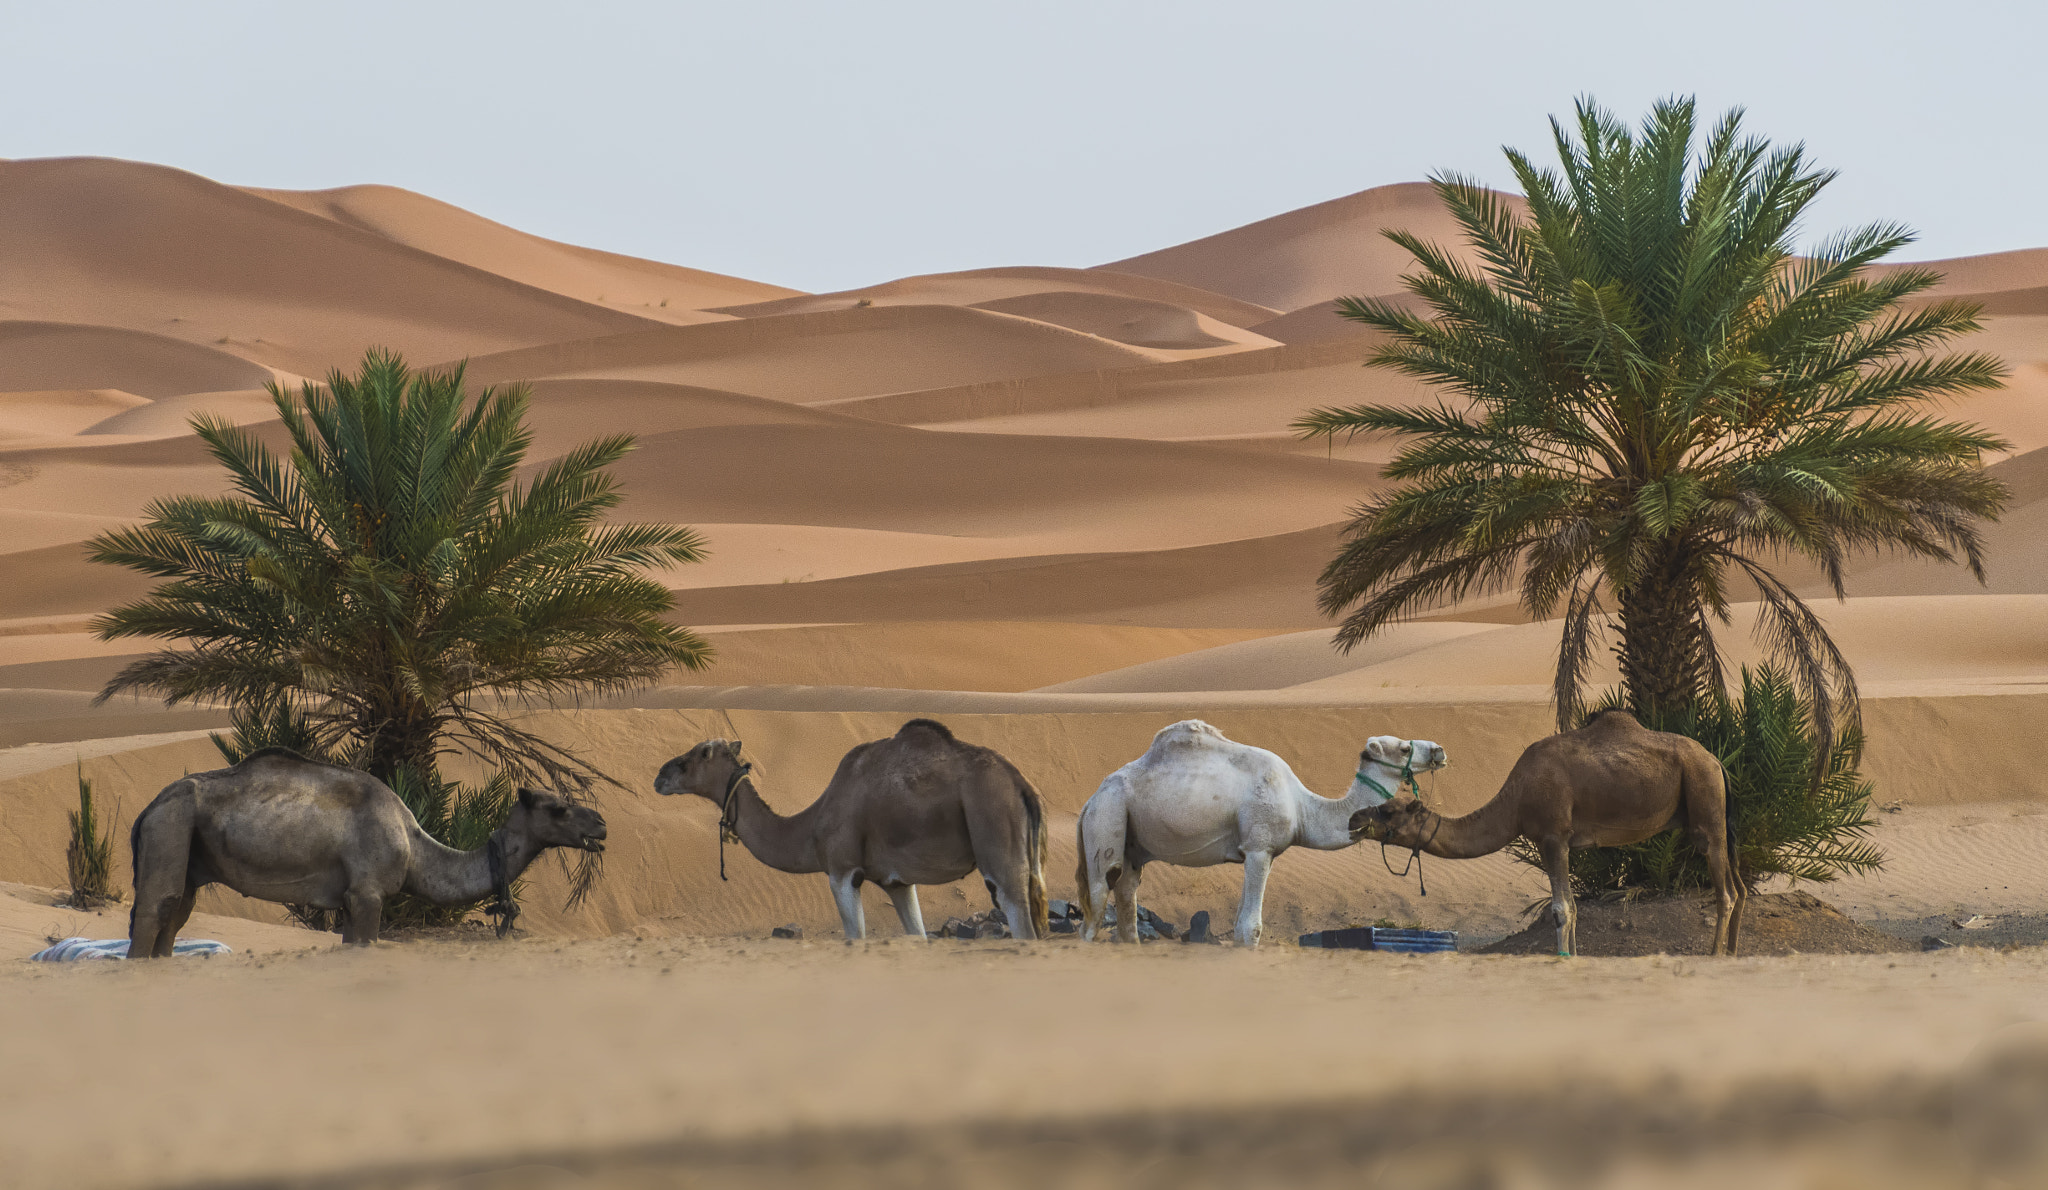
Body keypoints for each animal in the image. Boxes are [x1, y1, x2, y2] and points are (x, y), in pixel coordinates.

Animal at [127, 748, 606, 955]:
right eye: (560, 809)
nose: (601, 824)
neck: (415, 847)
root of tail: (148, 807)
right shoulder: (368, 893)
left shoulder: (347, 899)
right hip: (171, 825)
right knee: (157, 908)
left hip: (187, 846)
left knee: (176, 915)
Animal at [654, 719, 1050, 940]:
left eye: (693, 758)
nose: (659, 776)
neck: (811, 825)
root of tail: (1022, 786)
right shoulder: (897, 882)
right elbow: (917, 936)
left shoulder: (842, 872)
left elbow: (854, 939)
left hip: (997, 838)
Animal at [1074, 720, 1448, 947]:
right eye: (1403, 748)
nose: (1440, 751)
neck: (1303, 807)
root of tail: (1089, 801)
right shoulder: (1259, 846)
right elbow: (1250, 928)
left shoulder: (1256, 853)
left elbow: (1241, 925)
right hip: (1107, 815)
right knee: (1097, 898)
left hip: (1130, 840)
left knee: (1126, 893)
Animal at [1350, 709, 1744, 957]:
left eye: (1388, 809)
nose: (1354, 819)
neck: (1516, 799)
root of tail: (1717, 761)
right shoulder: (1562, 842)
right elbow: (1573, 907)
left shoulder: (1553, 838)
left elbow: (1561, 909)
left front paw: (1563, 958)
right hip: (1713, 818)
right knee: (1738, 888)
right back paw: (1734, 953)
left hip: (1705, 803)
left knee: (1725, 893)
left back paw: (1714, 955)